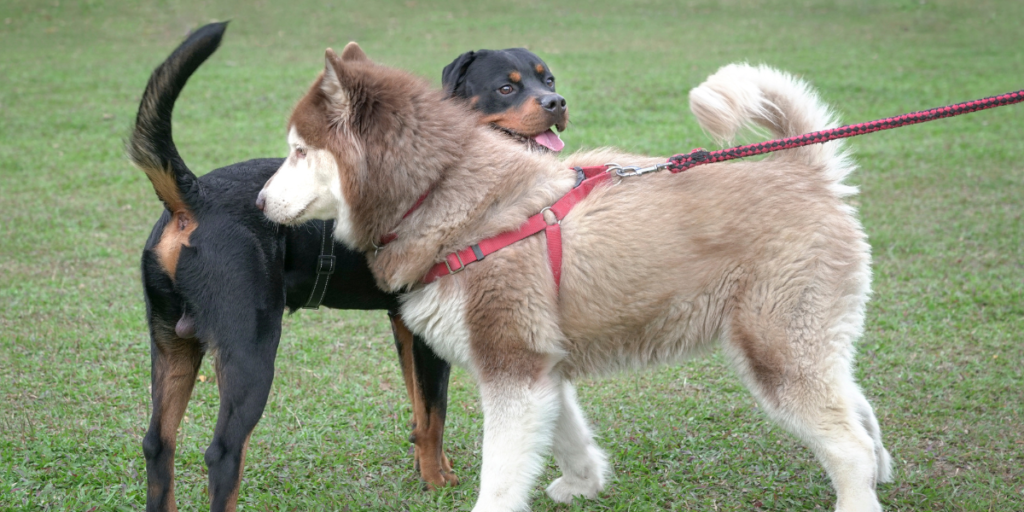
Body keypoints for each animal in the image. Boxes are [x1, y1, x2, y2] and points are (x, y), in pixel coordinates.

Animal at [129, 23, 569, 512]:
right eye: (506, 88)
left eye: (548, 79)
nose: (557, 102)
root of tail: (194, 196)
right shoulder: (427, 335)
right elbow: (435, 411)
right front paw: (436, 482)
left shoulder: (405, 323)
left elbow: (420, 408)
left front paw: (429, 468)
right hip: (249, 349)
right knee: (223, 452)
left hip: (172, 345)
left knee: (157, 443)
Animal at [258, 45, 897, 512]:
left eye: (298, 151)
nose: (260, 203)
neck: (446, 196)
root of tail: (806, 172)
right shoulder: (538, 365)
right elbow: (568, 436)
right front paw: (584, 483)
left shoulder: (511, 366)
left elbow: (500, 478)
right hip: (804, 345)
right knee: (859, 411)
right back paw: (882, 470)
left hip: (775, 353)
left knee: (848, 445)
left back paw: (858, 494)